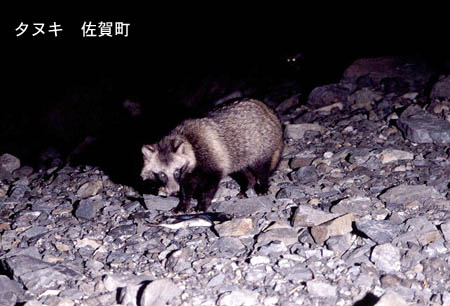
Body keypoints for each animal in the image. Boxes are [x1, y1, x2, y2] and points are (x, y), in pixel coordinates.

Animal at [141, 98, 284, 213]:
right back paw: (248, 185)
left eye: (176, 171)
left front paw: (202, 204)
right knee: (244, 171)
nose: (173, 191)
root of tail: (269, 110)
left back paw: (263, 185)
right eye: (162, 174)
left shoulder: (211, 158)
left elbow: (209, 186)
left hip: (261, 145)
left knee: (261, 169)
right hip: (239, 155)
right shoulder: (189, 173)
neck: (188, 143)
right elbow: (186, 188)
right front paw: (183, 204)